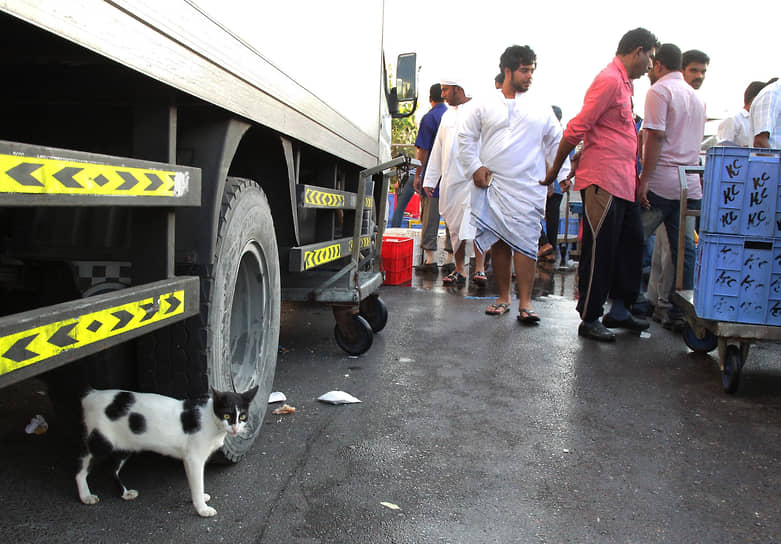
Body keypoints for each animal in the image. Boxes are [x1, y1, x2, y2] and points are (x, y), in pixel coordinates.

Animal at [74, 384, 256, 516]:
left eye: (242, 416)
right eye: (227, 415)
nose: (235, 429)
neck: (210, 419)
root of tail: (91, 395)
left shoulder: (189, 459)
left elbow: (194, 483)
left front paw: (200, 499)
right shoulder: (194, 459)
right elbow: (198, 482)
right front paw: (202, 508)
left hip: (124, 447)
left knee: (111, 470)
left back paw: (124, 493)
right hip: (101, 443)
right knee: (81, 469)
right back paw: (86, 496)